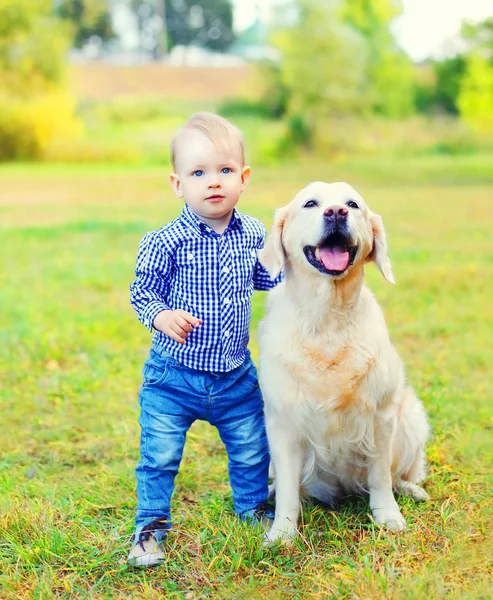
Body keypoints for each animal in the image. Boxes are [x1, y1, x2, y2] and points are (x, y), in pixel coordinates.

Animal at [260, 180, 428, 540]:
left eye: (353, 204)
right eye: (310, 203)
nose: (336, 212)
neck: (327, 319)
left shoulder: (381, 417)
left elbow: (380, 476)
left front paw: (387, 516)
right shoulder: (282, 421)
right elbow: (288, 491)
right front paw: (282, 533)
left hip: (411, 417)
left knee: (399, 475)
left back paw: (412, 489)